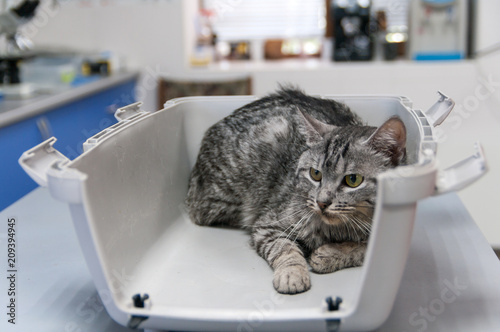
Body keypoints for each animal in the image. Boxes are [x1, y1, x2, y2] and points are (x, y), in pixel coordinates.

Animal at [185, 87, 406, 294]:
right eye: (315, 174)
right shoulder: (267, 224)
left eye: (353, 180)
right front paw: (293, 273)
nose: (322, 202)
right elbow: (284, 248)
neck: (337, 230)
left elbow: (366, 247)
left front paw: (330, 254)